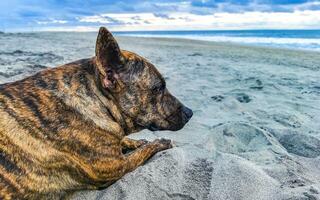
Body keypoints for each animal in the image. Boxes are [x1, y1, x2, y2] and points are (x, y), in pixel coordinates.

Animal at [0, 27, 192, 200]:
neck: (97, 100)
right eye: (158, 88)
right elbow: (144, 151)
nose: (190, 112)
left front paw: (136, 141)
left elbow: (126, 140)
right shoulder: (118, 165)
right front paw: (160, 142)